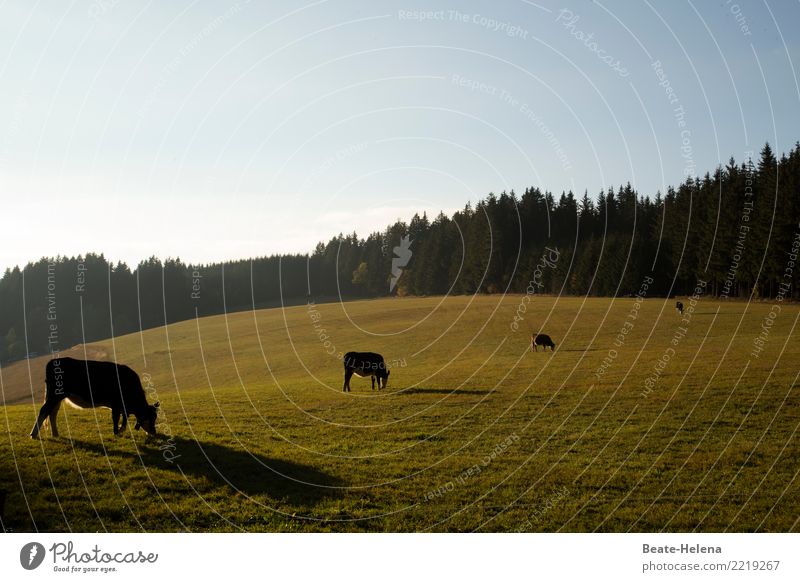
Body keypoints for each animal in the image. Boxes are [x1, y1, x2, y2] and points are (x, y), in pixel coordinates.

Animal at [31, 358, 159, 440]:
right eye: (151, 418)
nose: (154, 433)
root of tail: (53, 361)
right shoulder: (116, 404)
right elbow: (116, 419)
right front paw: (116, 433)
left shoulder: (122, 408)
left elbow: (124, 420)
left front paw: (120, 430)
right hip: (55, 395)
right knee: (44, 410)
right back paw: (33, 434)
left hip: (57, 397)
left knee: (52, 413)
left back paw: (55, 434)